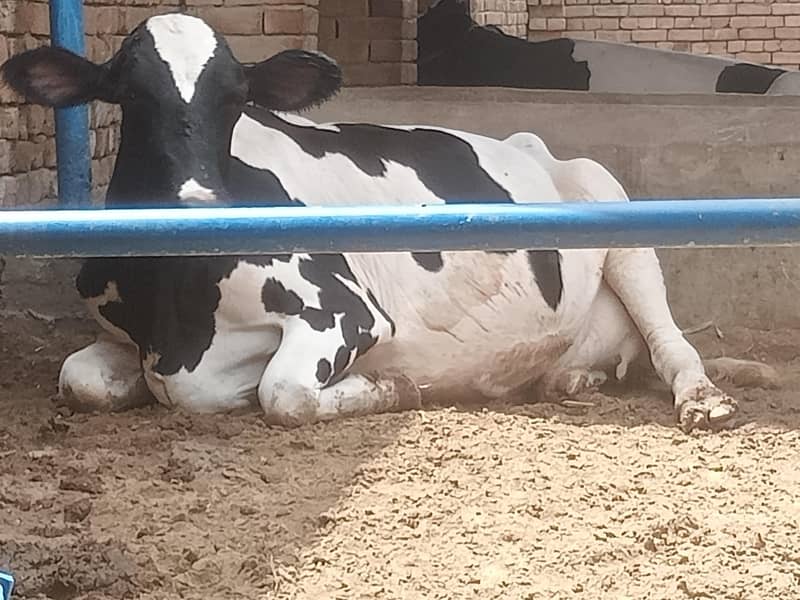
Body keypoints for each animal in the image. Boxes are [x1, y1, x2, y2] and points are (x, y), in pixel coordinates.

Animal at [1, 13, 769, 433]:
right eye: (128, 95)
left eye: (237, 99)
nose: (198, 207)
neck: (177, 313)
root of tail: (533, 143)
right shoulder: (119, 333)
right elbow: (81, 378)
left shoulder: (343, 310)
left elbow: (281, 393)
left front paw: (395, 389)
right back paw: (565, 380)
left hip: (620, 219)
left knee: (671, 343)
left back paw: (703, 399)